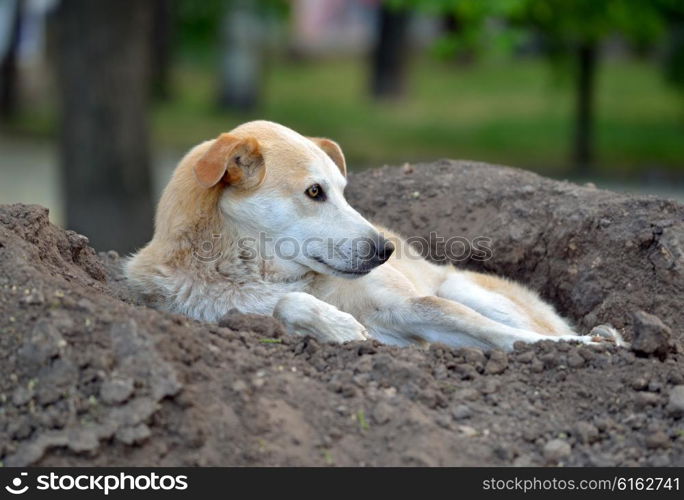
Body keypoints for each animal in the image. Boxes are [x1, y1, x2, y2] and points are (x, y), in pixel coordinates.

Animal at [125, 119, 628, 350]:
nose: (386, 250)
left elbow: (504, 335)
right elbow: (288, 306)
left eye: (344, 191)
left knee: (530, 324)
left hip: (462, 287)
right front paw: (338, 325)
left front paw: (583, 348)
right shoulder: (212, 309)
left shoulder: (411, 307)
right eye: (315, 192)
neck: (269, 274)